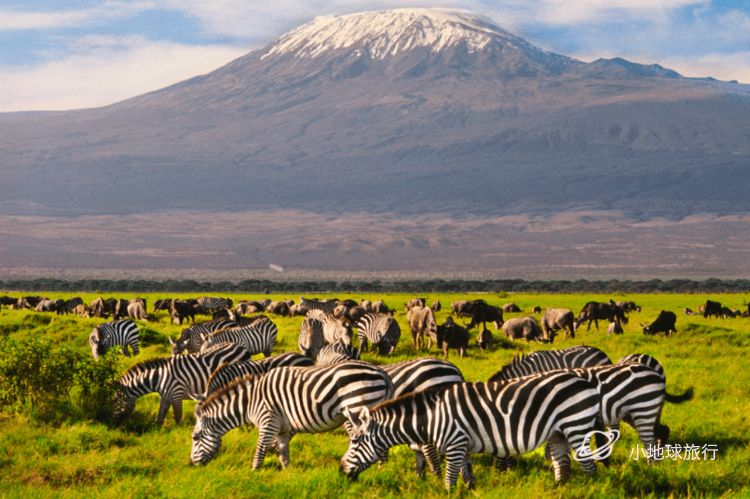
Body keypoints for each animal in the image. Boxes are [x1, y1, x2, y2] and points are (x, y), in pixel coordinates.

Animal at [117, 342, 251, 428]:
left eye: (115, 401)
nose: (119, 425)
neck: (158, 378)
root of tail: (242, 348)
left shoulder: (177, 394)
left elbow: (177, 417)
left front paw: (178, 433)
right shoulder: (165, 397)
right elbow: (160, 416)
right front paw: (157, 431)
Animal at [191, 364, 394, 468]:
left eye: (195, 437)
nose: (191, 464)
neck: (249, 402)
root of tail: (381, 372)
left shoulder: (268, 421)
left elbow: (260, 450)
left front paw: (254, 473)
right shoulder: (281, 428)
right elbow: (282, 451)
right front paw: (287, 474)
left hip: (358, 407)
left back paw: (379, 471)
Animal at [344, 374, 604, 490]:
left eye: (355, 441)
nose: (341, 470)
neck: (433, 417)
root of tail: (585, 381)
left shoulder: (455, 443)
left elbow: (450, 480)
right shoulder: (464, 447)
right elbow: (467, 478)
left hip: (577, 426)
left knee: (589, 466)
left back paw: (590, 488)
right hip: (557, 433)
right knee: (562, 465)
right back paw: (559, 489)